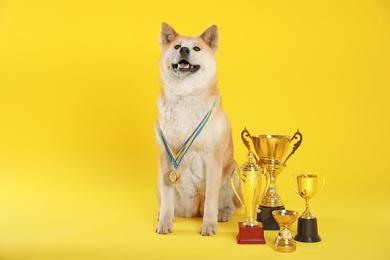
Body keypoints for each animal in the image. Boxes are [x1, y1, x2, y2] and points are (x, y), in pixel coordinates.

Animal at [155, 23, 238, 237]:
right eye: (177, 46)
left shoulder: (213, 160)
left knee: (230, 203)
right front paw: (165, 222)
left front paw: (209, 225)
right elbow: (167, 200)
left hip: (233, 172)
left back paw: (223, 213)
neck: (185, 97)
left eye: (197, 48)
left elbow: (211, 200)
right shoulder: (166, 160)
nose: (184, 50)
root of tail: (193, 210)